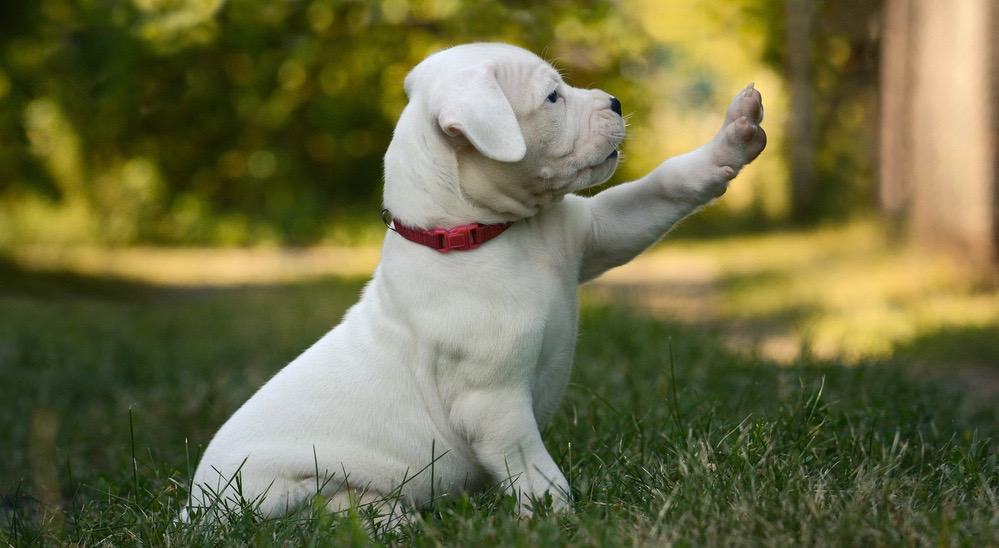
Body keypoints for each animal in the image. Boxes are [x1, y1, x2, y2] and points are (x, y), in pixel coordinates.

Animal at [188, 41, 764, 524]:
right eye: (552, 96)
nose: (616, 102)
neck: (483, 234)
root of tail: (193, 513)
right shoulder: (494, 404)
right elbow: (533, 470)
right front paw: (561, 519)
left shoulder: (596, 234)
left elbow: (662, 188)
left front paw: (734, 137)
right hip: (278, 488)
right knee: (322, 512)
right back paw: (390, 518)